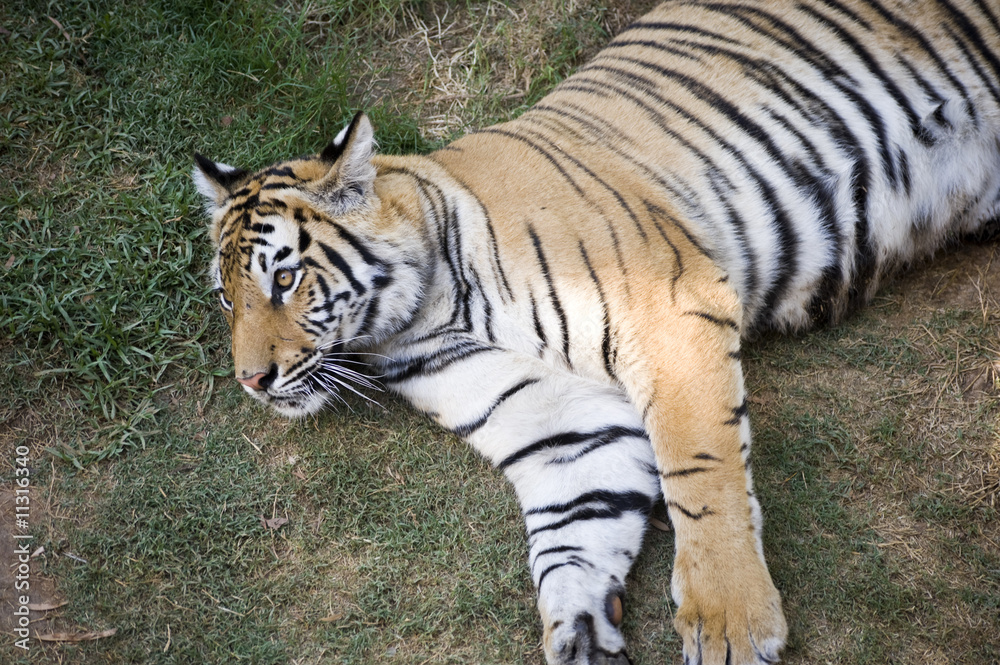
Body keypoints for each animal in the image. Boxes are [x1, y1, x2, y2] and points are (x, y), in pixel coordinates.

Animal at [193, 0, 1000, 663]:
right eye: (228, 297)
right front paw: (579, 630)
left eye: (284, 279)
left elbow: (700, 472)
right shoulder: (561, 421)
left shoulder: (670, 308)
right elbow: (575, 526)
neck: (428, 308)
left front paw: (730, 623)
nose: (252, 381)